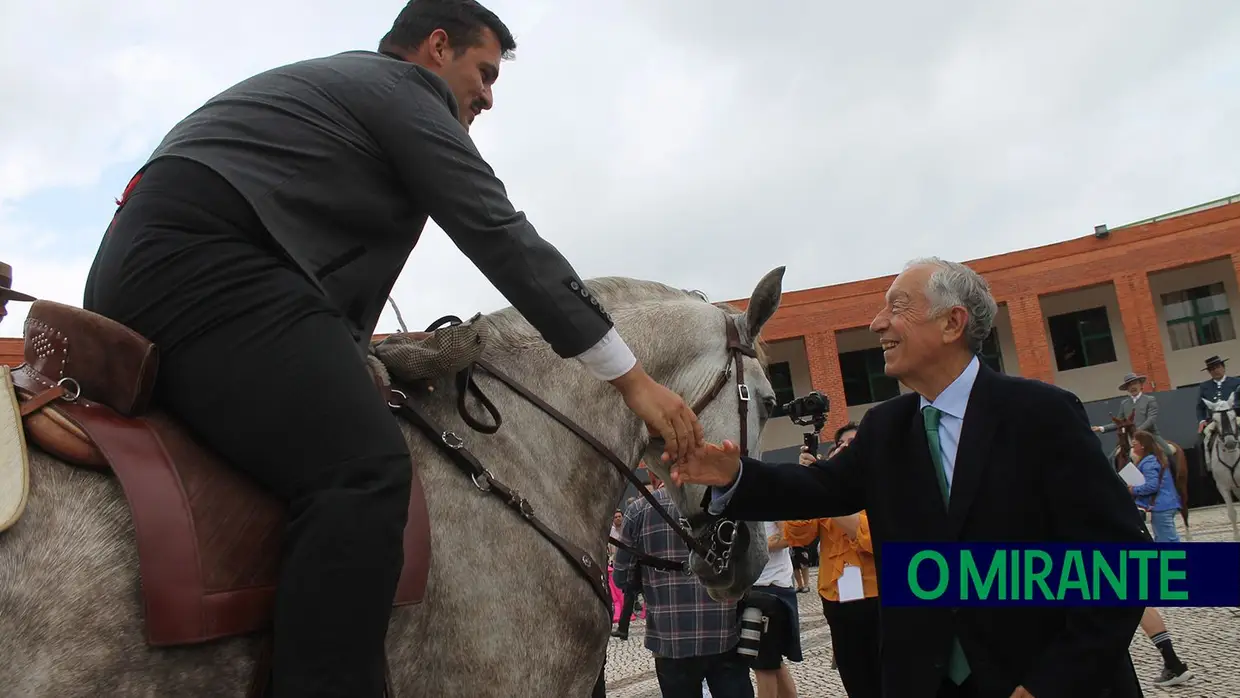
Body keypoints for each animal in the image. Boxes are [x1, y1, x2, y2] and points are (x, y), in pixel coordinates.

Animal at [1200, 391, 1240, 543]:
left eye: (1233, 416)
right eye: (1215, 420)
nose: (1230, 443)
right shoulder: (1223, 487)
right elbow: (1232, 513)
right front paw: (1236, 537)